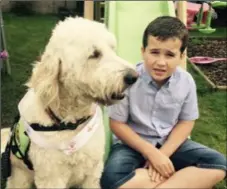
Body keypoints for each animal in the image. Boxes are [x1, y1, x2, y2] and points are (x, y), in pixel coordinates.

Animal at [0, 17, 137, 188]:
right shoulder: (51, 178)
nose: (133, 76)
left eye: (112, 48)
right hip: (20, 177)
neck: (72, 123)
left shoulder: (93, 172)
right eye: (94, 54)